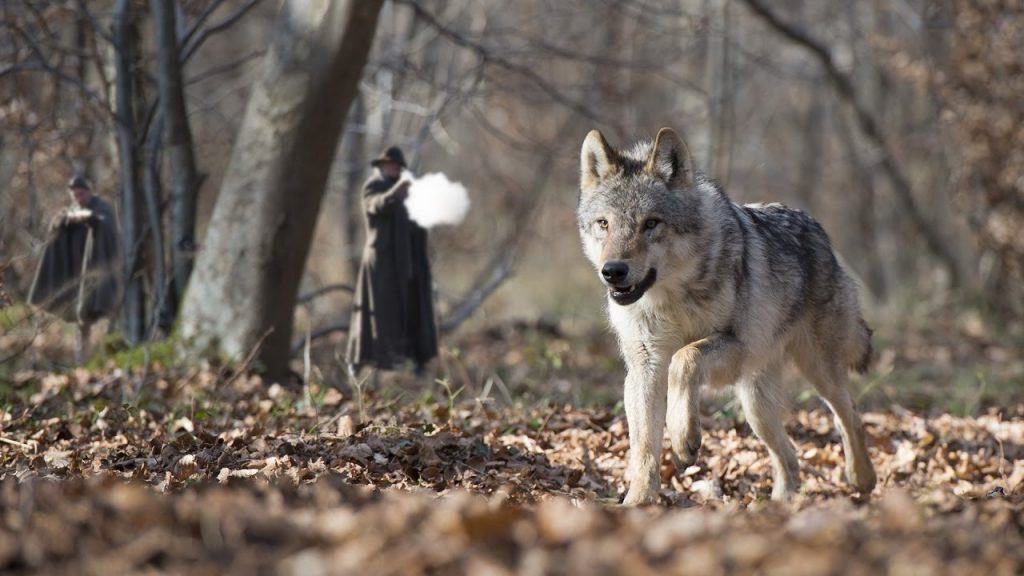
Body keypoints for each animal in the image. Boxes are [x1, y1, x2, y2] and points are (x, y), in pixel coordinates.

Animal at [581, 126, 876, 502]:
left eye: (651, 224)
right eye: (604, 224)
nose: (613, 271)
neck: (671, 300)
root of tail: (821, 233)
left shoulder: (735, 347)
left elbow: (683, 358)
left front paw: (684, 439)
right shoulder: (644, 368)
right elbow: (644, 447)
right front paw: (638, 502)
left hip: (817, 372)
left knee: (849, 416)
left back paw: (862, 478)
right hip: (756, 406)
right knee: (789, 457)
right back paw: (778, 505)